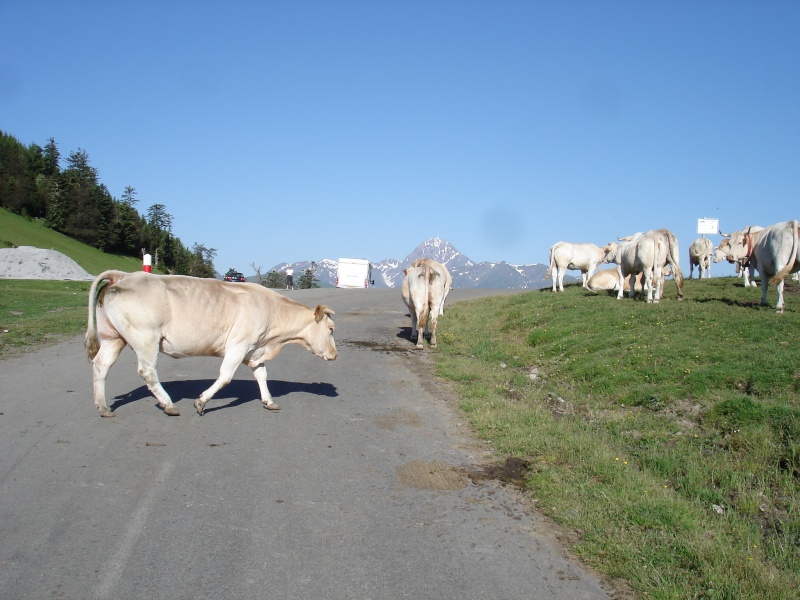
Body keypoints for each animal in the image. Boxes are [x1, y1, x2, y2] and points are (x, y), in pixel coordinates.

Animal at [86, 272, 336, 418]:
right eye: (331, 329)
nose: (335, 355)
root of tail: (124, 276)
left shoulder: (254, 350)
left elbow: (262, 375)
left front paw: (269, 401)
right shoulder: (238, 345)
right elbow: (225, 377)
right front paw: (201, 402)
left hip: (112, 337)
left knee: (101, 365)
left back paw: (103, 407)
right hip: (145, 337)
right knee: (147, 371)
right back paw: (168, 405)